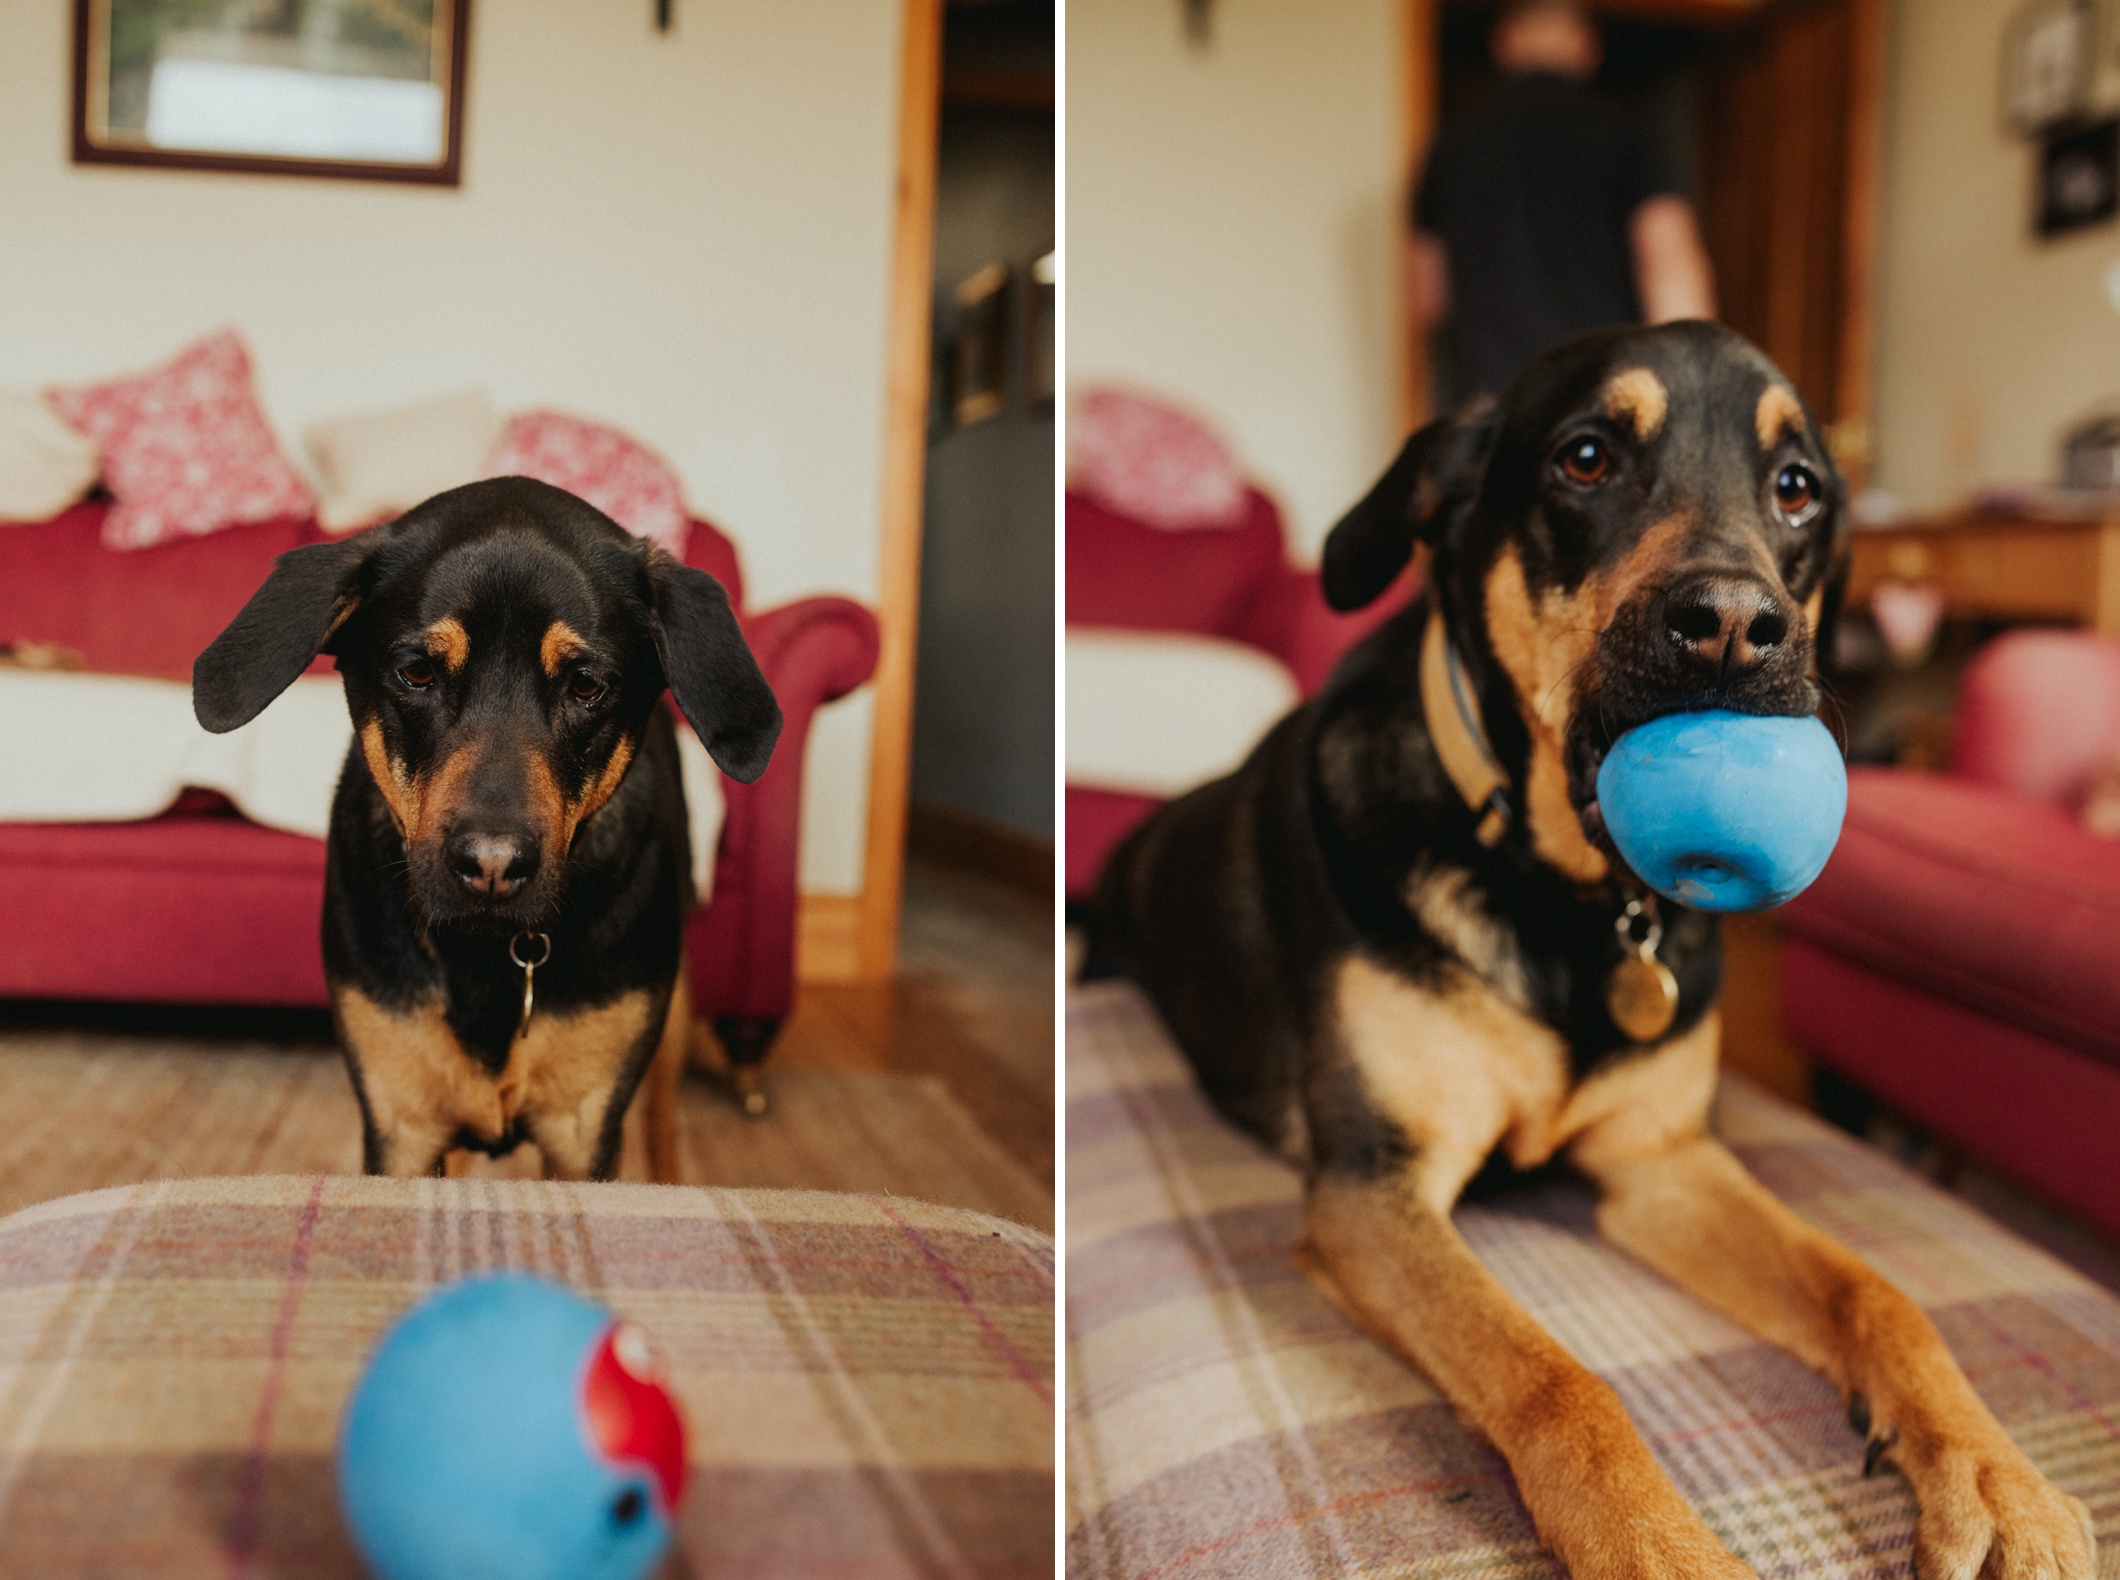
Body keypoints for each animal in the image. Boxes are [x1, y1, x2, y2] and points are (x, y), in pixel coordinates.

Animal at [195, 481, 780, 1187]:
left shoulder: (583, 1130)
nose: (493, 865)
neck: (489, 953)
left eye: (586, 685)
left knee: (664, 1123)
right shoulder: (402, 1126)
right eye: (417, 672)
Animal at [1102, 324, 2094, 1577]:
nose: (1731, 623)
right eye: (1585, 458)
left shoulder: (1660, 1162)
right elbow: (1556, 1379)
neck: (1577, 900)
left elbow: (1876, 1292)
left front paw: (1997, 1476)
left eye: (1796, 487)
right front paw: (1663, 1545)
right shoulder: (1372, 1191)